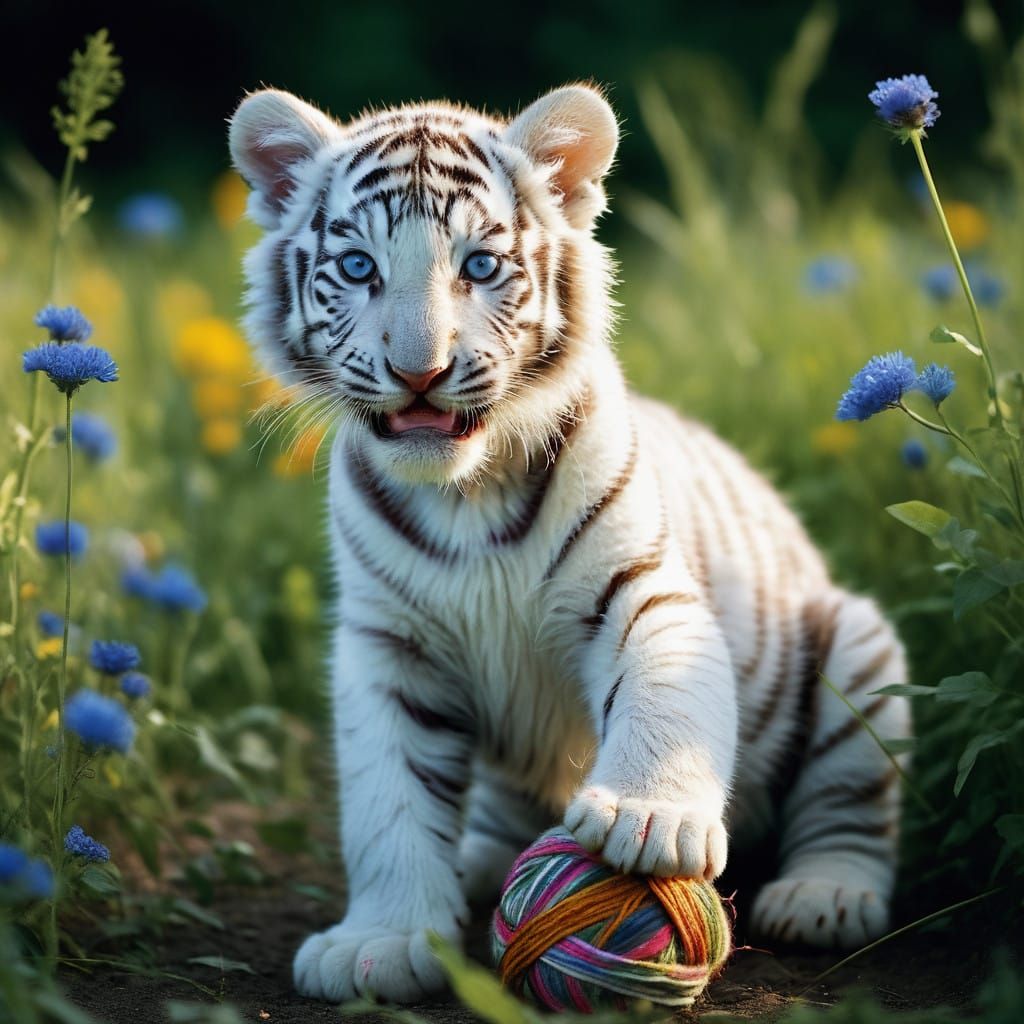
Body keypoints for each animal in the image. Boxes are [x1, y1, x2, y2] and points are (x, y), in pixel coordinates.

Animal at [228, 83, 910, 1003]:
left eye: (481, 266)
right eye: (361, 268)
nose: (418, 372)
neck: (465, 493)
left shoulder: (644, 589)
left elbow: (663, 702)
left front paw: (648, 820)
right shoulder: (388, 644)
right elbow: (389, 798)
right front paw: (381, 940)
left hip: (859, 655)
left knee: (851, 806)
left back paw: (823, 896)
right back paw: (479, 864)